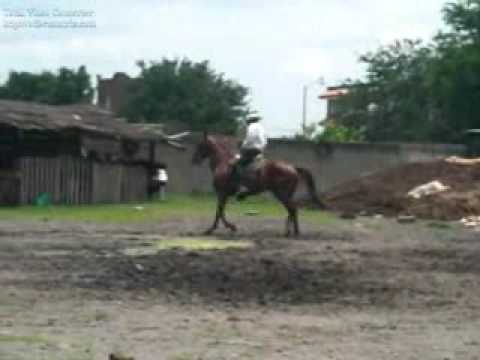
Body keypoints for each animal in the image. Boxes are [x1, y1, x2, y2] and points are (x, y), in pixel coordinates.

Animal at [190, 132, 322, 236]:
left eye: (200, 145)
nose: (194, 160)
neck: (223, 163)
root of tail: (293, 167)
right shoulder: (224, 195)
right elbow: (220, 211)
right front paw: (220, 228)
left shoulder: (222, 193)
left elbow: (219, 212)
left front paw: (222, 228)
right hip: (285, 195)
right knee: (291, 210)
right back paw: (291, 231)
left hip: (282, 194)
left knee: (292, 209)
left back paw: (292, 232)